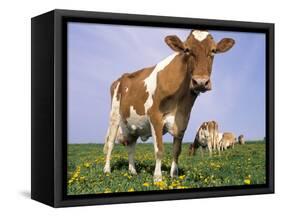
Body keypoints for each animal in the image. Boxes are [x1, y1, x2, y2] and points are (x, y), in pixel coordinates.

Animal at [103, 29, 234, 181]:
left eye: (213, 50)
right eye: (187, 50)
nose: (201, 82)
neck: (180, 101)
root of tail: (121, 77)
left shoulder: (183, 120)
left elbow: (176, 151)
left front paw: (174, 175)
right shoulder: (155, 117)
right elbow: (159, 149)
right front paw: (158, 177)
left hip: (133, 125)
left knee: (131, 147)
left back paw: (133, 171)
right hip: (114, 117)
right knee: (110, 143)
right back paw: (107, 170)